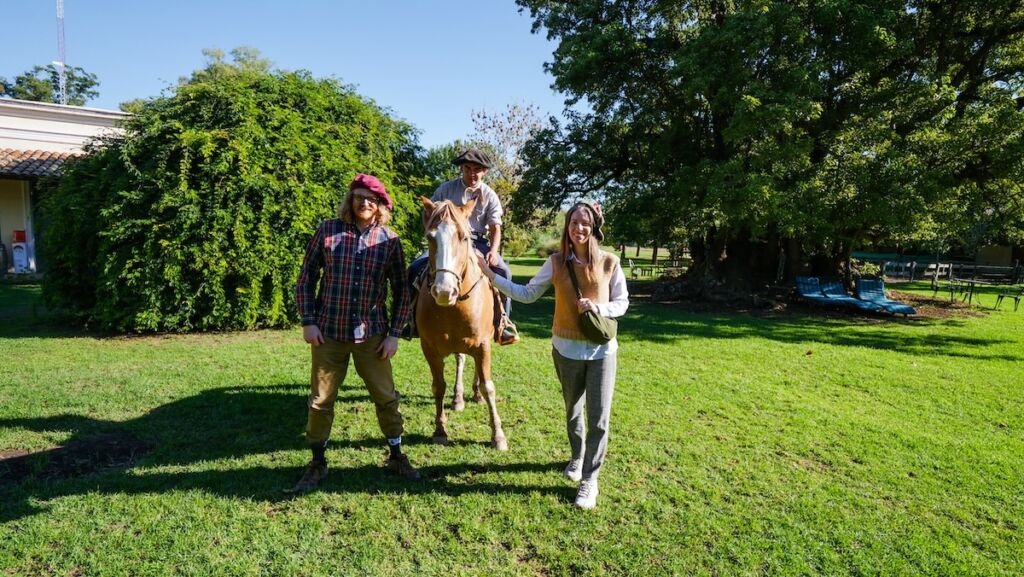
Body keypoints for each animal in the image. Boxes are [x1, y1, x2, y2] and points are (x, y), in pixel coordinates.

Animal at [415, 197, 507, 450]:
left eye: (464, 237)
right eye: (430, 237)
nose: (444, 291)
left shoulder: (483, 345)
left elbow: (488, 386)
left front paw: (498, 436)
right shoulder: (429, 349)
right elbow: (438, 386)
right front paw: (440, 429)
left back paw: (474, 394)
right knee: (460, 361)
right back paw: (458, 399)